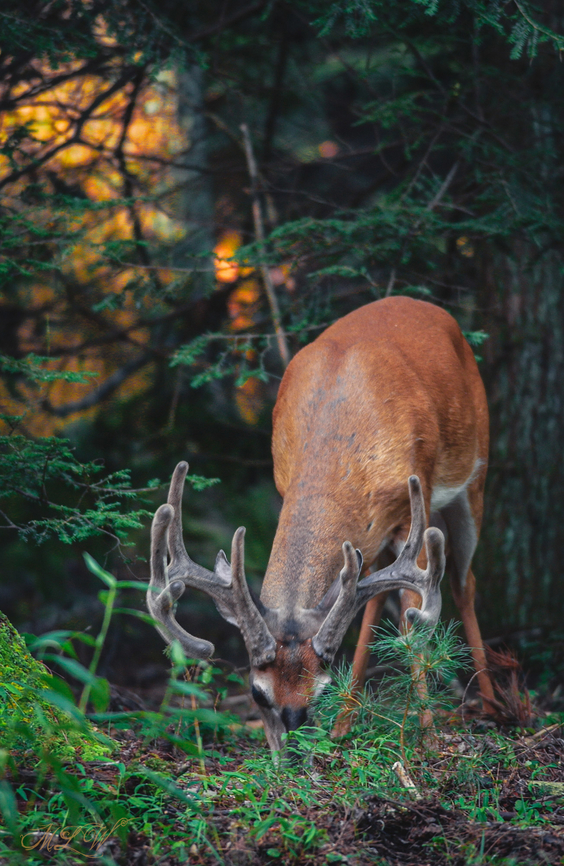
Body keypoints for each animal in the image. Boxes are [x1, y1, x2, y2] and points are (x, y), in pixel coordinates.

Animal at [147, 296, 495, 753]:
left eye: (321, 690)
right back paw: (345, 723)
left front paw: (427, 733)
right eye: (258, 693)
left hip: (474, 476)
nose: (292, 753)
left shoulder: (412, 503)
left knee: (461, 582)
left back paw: (492, 704)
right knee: (370, 595)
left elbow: (414, 612)